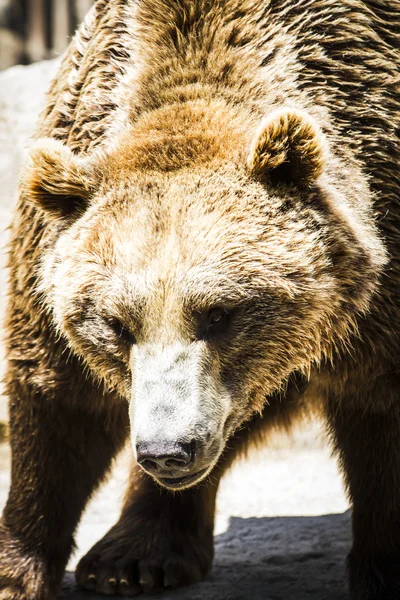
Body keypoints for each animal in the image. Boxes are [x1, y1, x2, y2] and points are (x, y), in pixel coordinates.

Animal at [0, 0, 398, 596]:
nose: (166, 451)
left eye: (220, 314)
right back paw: (135, 556)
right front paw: (18, 569)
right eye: (116, 323)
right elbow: (58, 399)